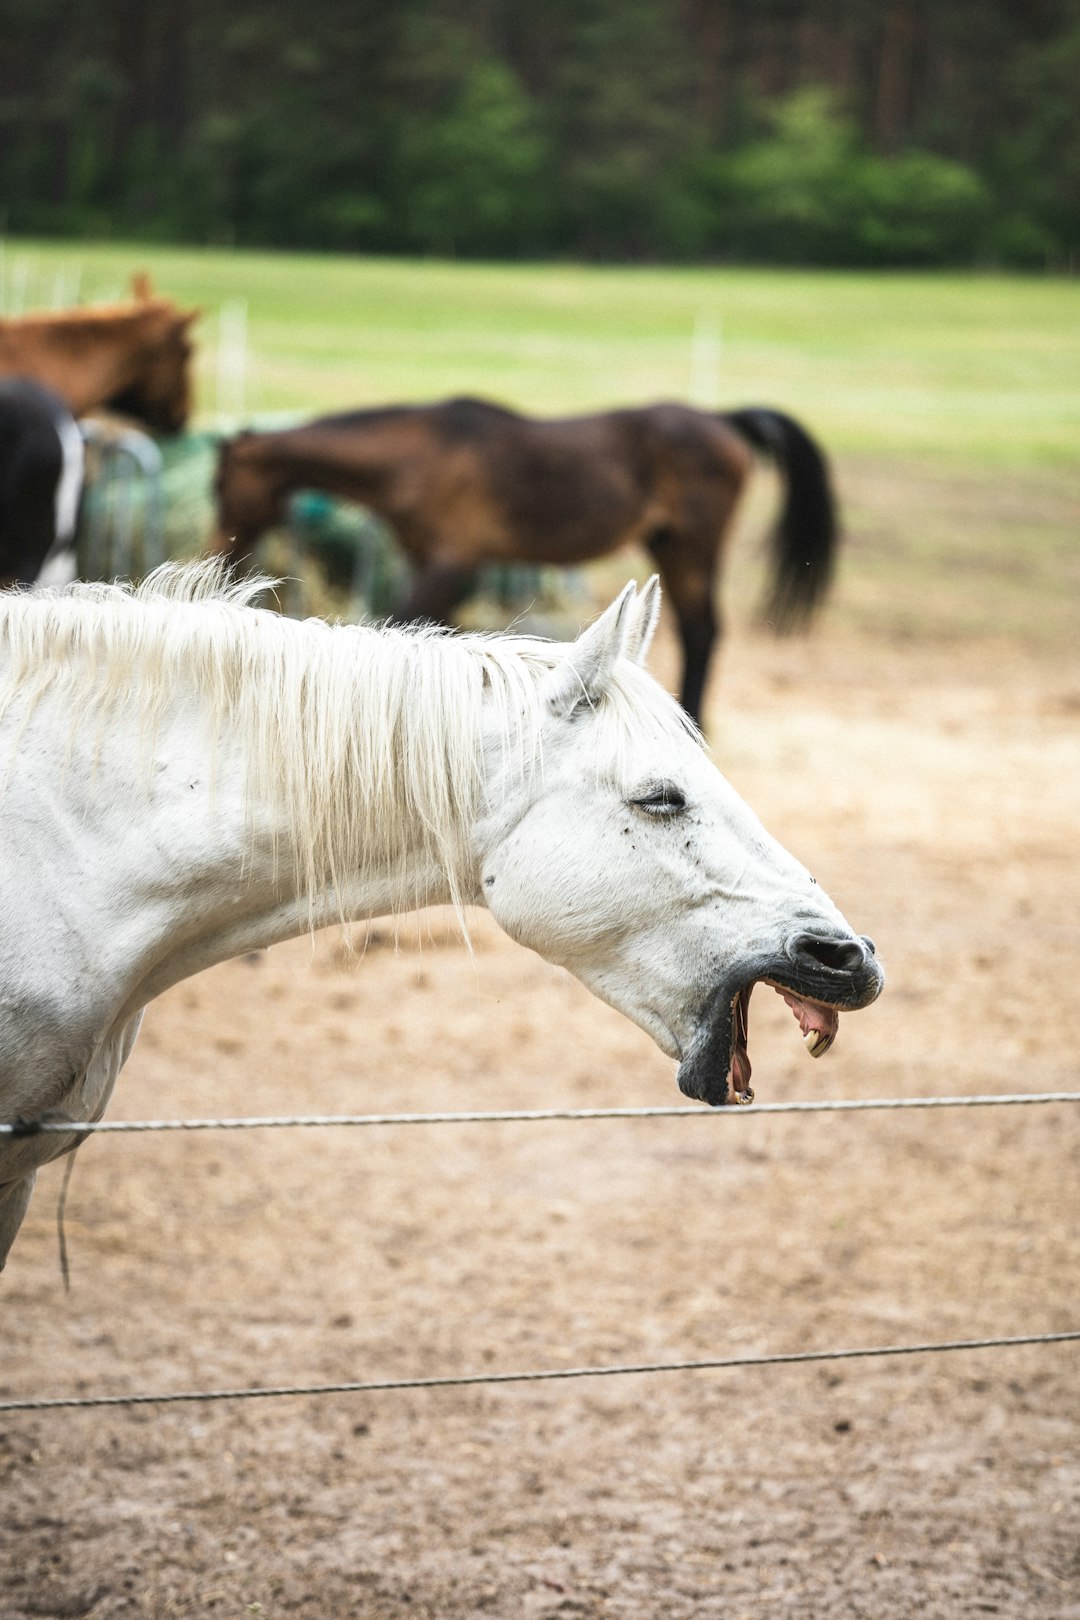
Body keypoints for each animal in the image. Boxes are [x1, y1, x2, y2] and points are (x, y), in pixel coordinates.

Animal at [210, 395, 835, 725]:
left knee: (703, 632)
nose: (222, 557)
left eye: (220, 487)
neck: (421, 456)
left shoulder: (451, 562)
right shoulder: (430, 563)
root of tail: (721, 419)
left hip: (692, 547)